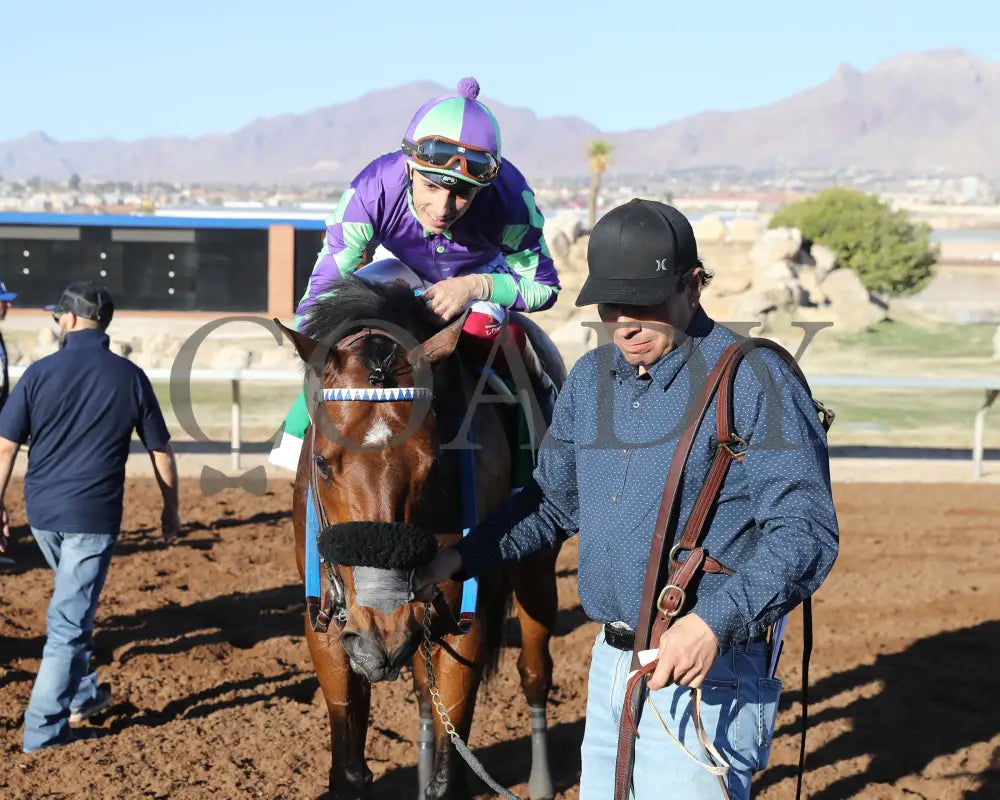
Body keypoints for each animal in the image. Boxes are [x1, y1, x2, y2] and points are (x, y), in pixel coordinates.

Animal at [278, 276, 568, 800]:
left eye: (432, 463)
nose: (382, 631)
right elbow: (349, 767)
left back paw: (540, 780)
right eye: (323, 463)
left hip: (535, 572)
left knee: (535, 672)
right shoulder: (327, 621)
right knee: (420, 689)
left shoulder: (464, 614)